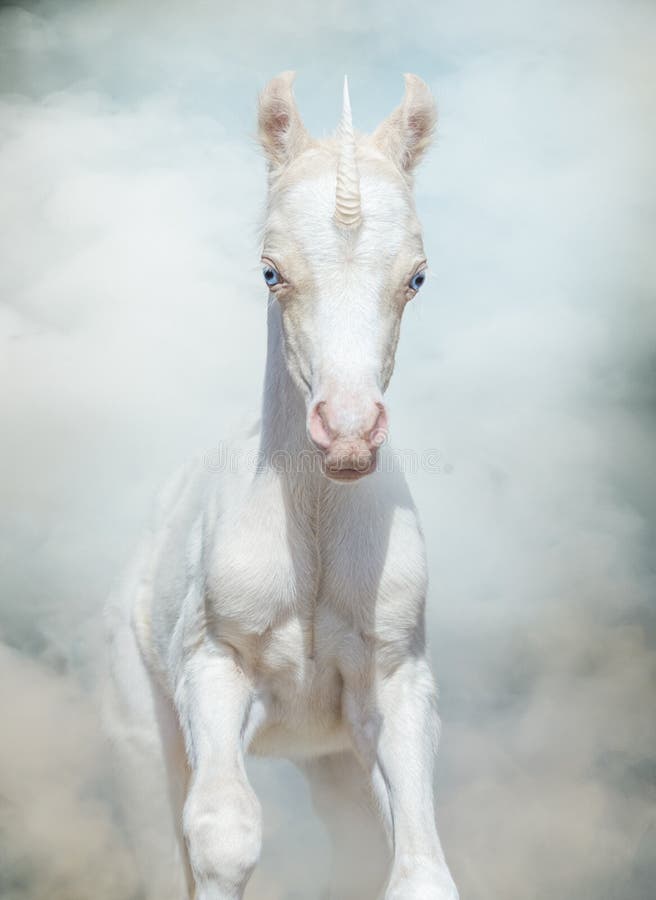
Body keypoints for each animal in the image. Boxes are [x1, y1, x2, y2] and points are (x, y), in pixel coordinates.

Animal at [105, 72, 458, 900]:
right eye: (272, 271)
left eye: (417, 276)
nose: (350, 432)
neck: (316, 534)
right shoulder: (212, 663)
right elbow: (223, 834)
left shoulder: (394, 684)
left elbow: (420, 873)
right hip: (142, 733)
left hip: (332, 763)